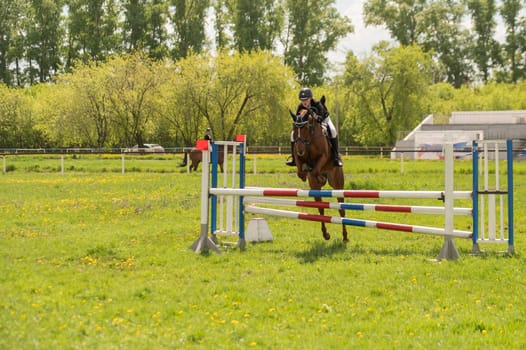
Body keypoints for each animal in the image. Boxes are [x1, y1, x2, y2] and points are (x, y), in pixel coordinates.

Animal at [290, 95, 348, 243]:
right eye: (294, 128)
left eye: (306, 127)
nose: (299, 150)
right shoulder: (299, 157)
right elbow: (300, 170)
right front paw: (306, 172)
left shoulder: (324, 155)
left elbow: (316, 169)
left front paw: (319, 176)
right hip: (315, 189)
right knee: (320, 209)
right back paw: (326, 234)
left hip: (337, 183)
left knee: (341, 209)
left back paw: (345, 237)